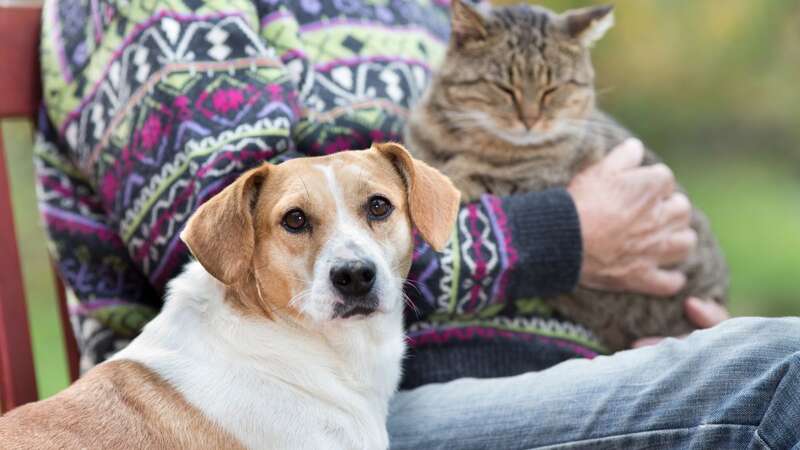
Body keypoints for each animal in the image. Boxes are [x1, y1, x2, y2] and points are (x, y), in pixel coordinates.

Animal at [406, 0, 724, 350]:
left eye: (552, 89)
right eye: (504, 88)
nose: (530, 120)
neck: (463, 139)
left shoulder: (537, 179)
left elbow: (471, 178)